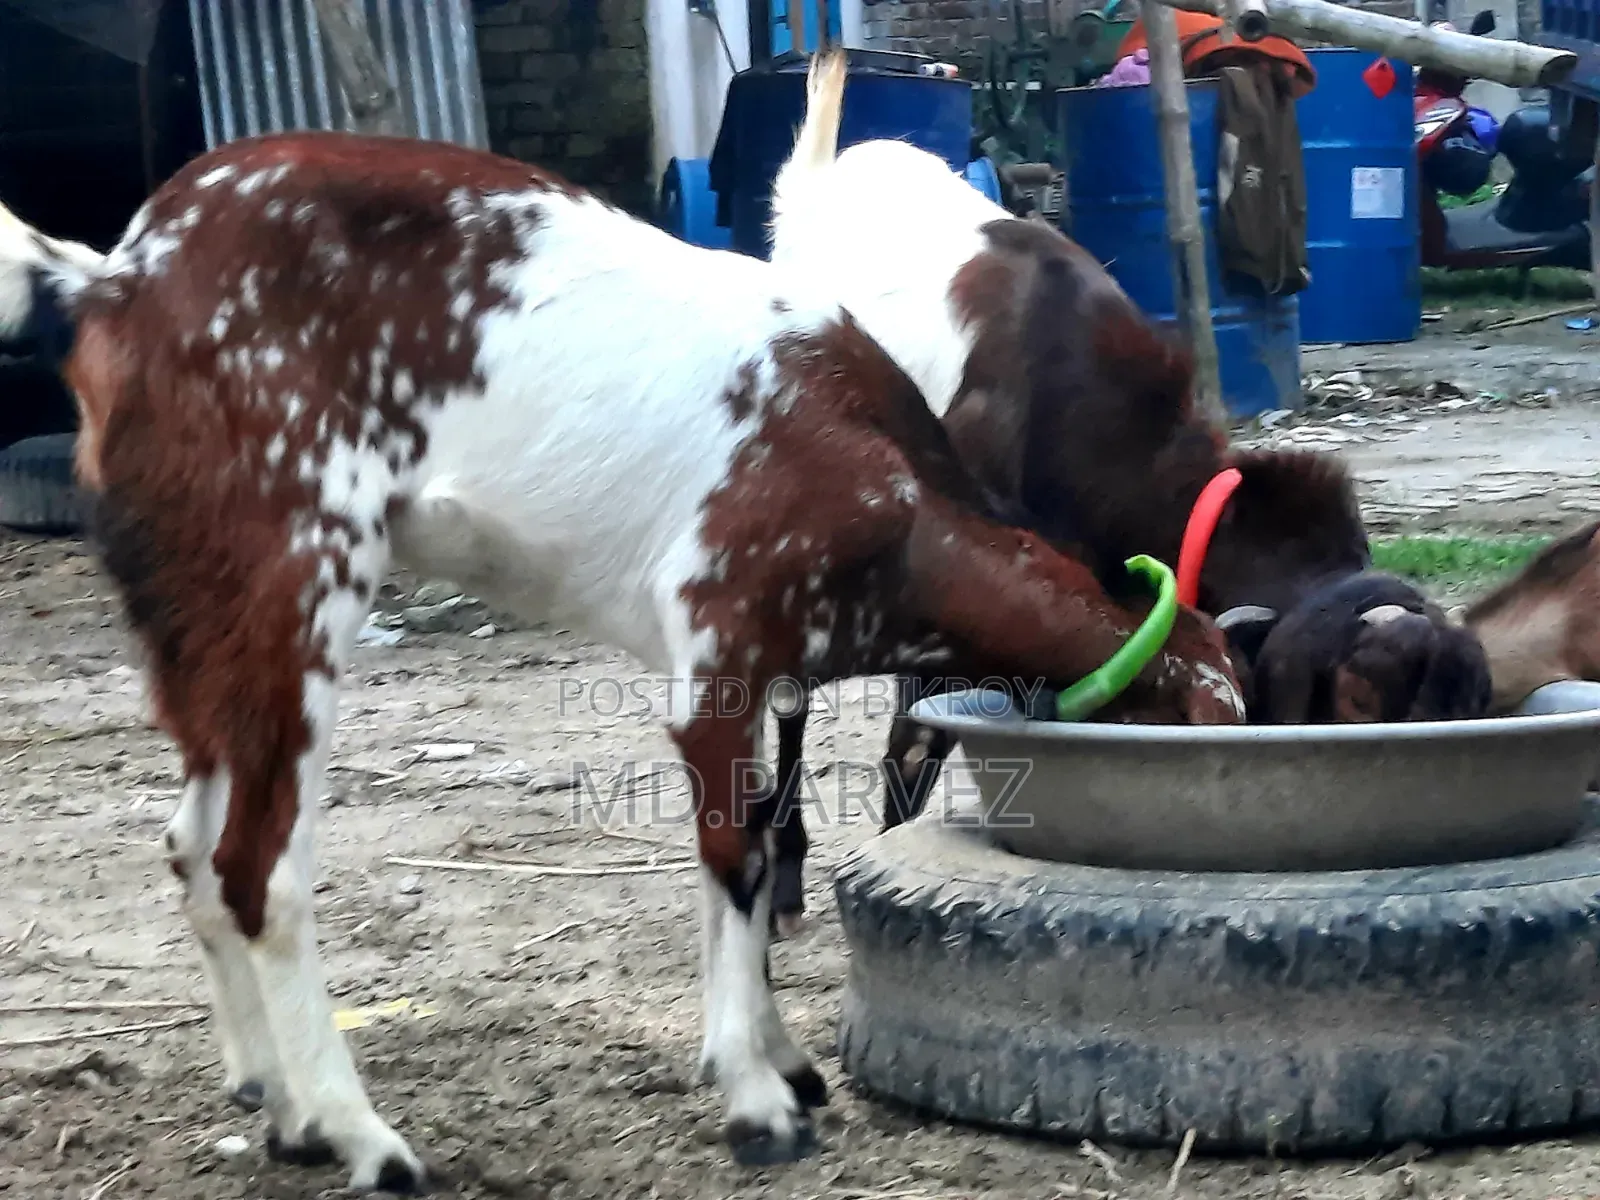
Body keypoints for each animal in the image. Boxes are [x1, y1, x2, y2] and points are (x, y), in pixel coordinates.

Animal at [0, 129, 1245, 1190]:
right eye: (1207, 721)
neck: (887, 486)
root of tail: (113, 280)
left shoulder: (768, 673)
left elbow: (759, 843)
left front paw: (776, 1058)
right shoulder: (719, 644)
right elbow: (733, 854)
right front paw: (756, 1101)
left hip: (197, 616)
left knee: (191, 846)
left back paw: (284, 1108)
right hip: (294, 574)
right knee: (258, 866)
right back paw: (366, 1138)